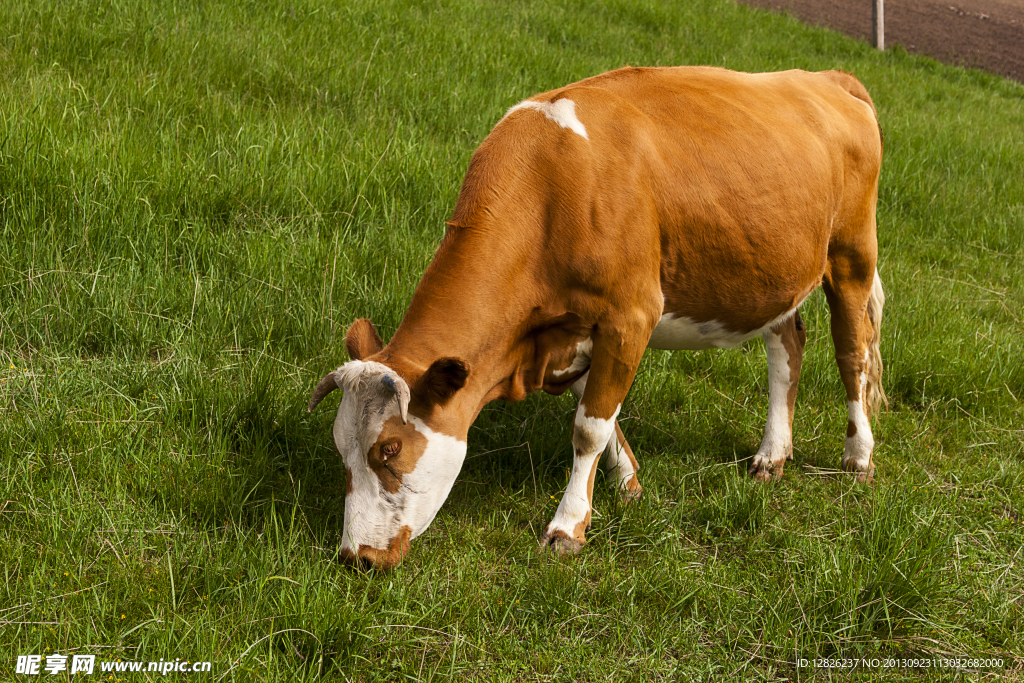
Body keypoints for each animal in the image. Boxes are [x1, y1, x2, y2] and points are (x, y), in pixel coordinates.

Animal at [307, 66, 884, 573]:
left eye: (389, 450)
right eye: (340, 450)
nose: (356, 557)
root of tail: (825, 77)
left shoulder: (631, 315)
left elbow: (588, 427)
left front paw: (568, 527)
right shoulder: (573, 333)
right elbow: (602, 415)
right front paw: (627, 485)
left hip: (852, 256)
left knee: (852, 353)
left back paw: (858, 458)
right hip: (774, 272)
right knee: (787, 345)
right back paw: (772, 455)